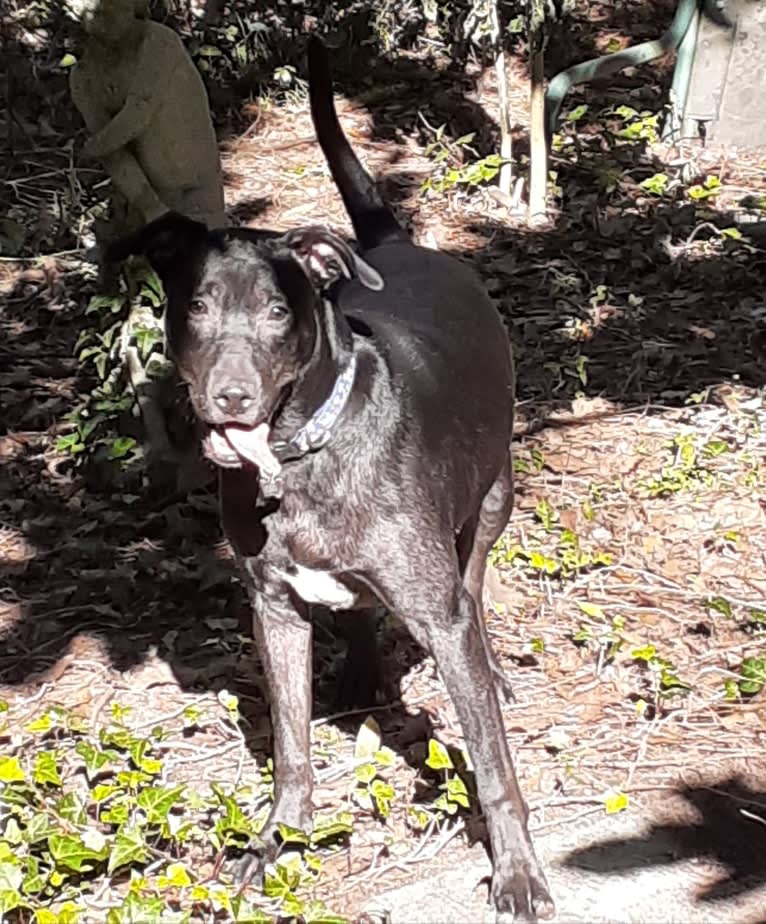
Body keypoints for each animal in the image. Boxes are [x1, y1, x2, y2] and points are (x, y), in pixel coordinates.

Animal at [106, 36, 552, 924]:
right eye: (196, 306)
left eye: (279, 312)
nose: (229, 396)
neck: (302, 456)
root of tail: (393, 243)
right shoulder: (273, 608)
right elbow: (290, 743)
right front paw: (278, 841)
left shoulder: (437, 608)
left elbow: (492, 763)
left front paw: (517, 870)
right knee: (360, 611)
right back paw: (357, 674)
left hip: (491, 498)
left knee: (474, 586)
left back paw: (487, 669)